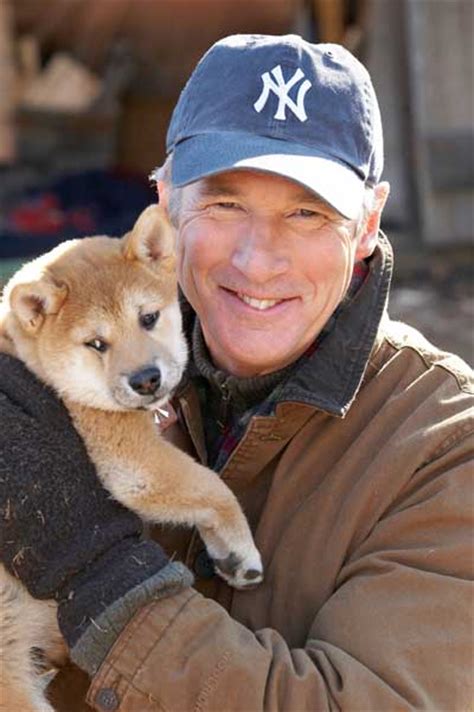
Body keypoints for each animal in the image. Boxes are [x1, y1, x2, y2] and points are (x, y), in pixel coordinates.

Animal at [0, 206, 262, 712]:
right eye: (96, 343)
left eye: (148, 317)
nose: (146, 379)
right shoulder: (126, 454)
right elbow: (212, 487)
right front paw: (241, 551)